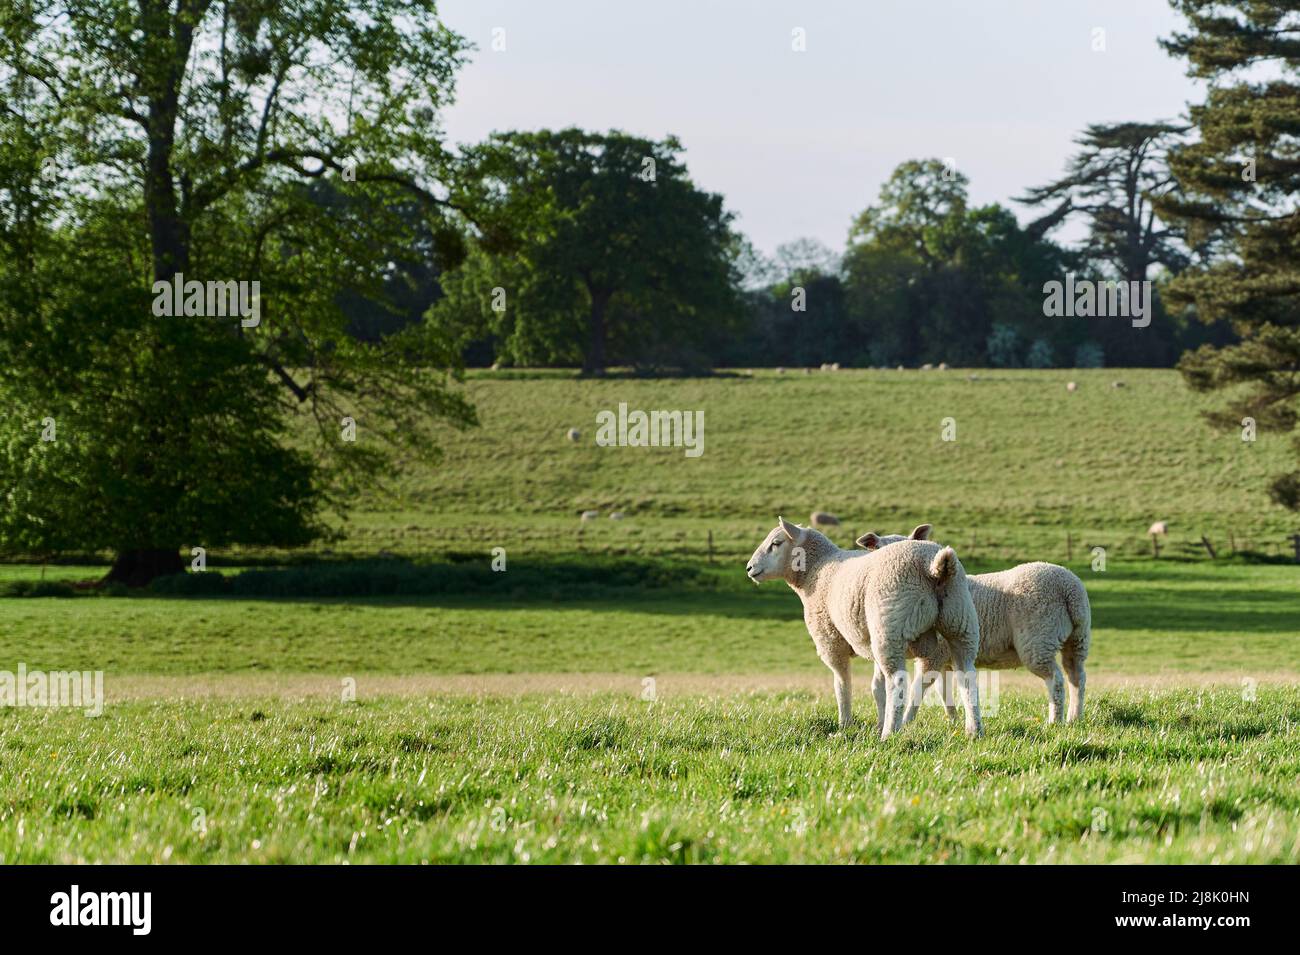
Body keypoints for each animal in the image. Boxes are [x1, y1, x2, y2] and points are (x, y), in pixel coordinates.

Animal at [746, 517, 983, 739]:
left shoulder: (831, 641)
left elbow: (842, 685)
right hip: (960, 622)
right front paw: (876, 723)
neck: (817, 570)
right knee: (967, 676)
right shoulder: (871, 641)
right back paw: (974, 731)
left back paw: (889, 733)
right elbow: (876, 687)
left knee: (897, 681)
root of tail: (934, 566)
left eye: (776, 543)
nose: (749, 568)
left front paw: (844, 725)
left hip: (889, 627)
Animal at [856, 524, 1091, 724]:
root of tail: (1069, 588)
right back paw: (1074, 718)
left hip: (1038, 640)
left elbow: (917, 690)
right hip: (1077, 638)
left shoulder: (935, 654)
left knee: (1056, 680)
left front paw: (905, 723)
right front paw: (953, 721)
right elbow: (944, 692)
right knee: (1077, 677)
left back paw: (1055, 721)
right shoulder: (943, 659)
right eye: (876, 550)